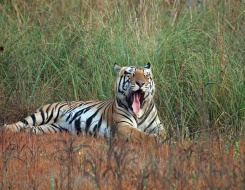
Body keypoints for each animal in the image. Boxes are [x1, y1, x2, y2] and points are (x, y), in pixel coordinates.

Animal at [2, 63, 165, 143]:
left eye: (146, 75)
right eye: (130, 74)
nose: (140, 83)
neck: (140, 111)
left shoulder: (157, 126)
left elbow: (163, 134)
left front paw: (161, 139)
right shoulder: (123, 126)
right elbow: (140, 135)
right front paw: (154, 140)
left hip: (54, 128)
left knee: (31, 128)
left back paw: (27, 131)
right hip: (45, 113)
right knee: (21, 122)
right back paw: (6, 129)